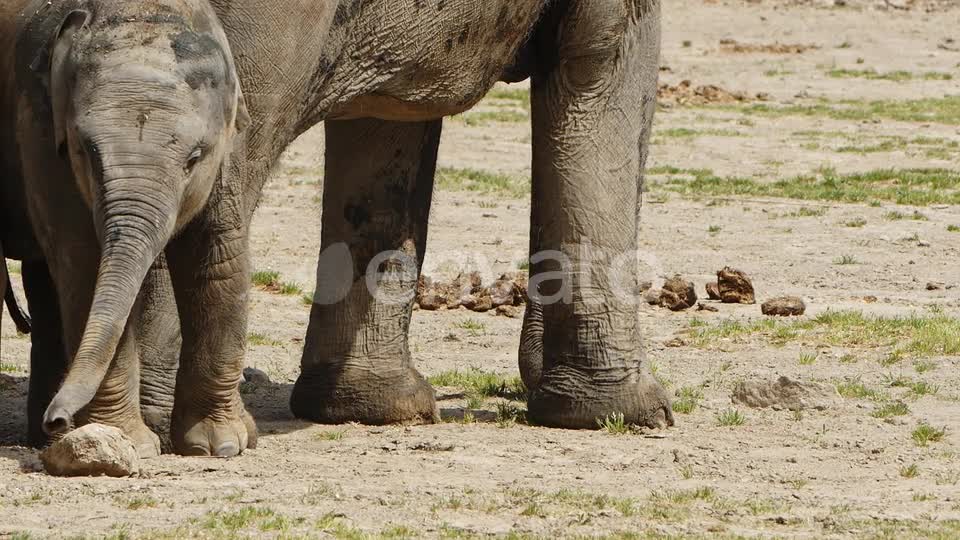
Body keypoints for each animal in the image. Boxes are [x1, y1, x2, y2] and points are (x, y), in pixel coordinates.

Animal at [0, 0, 251, 456]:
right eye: (85, 151)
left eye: (194, 158)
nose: (57, 418)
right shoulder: (40, 130)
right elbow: (84, 266)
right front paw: (129, 443)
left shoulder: (230, 143)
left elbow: (218, 256)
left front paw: (218, 445)